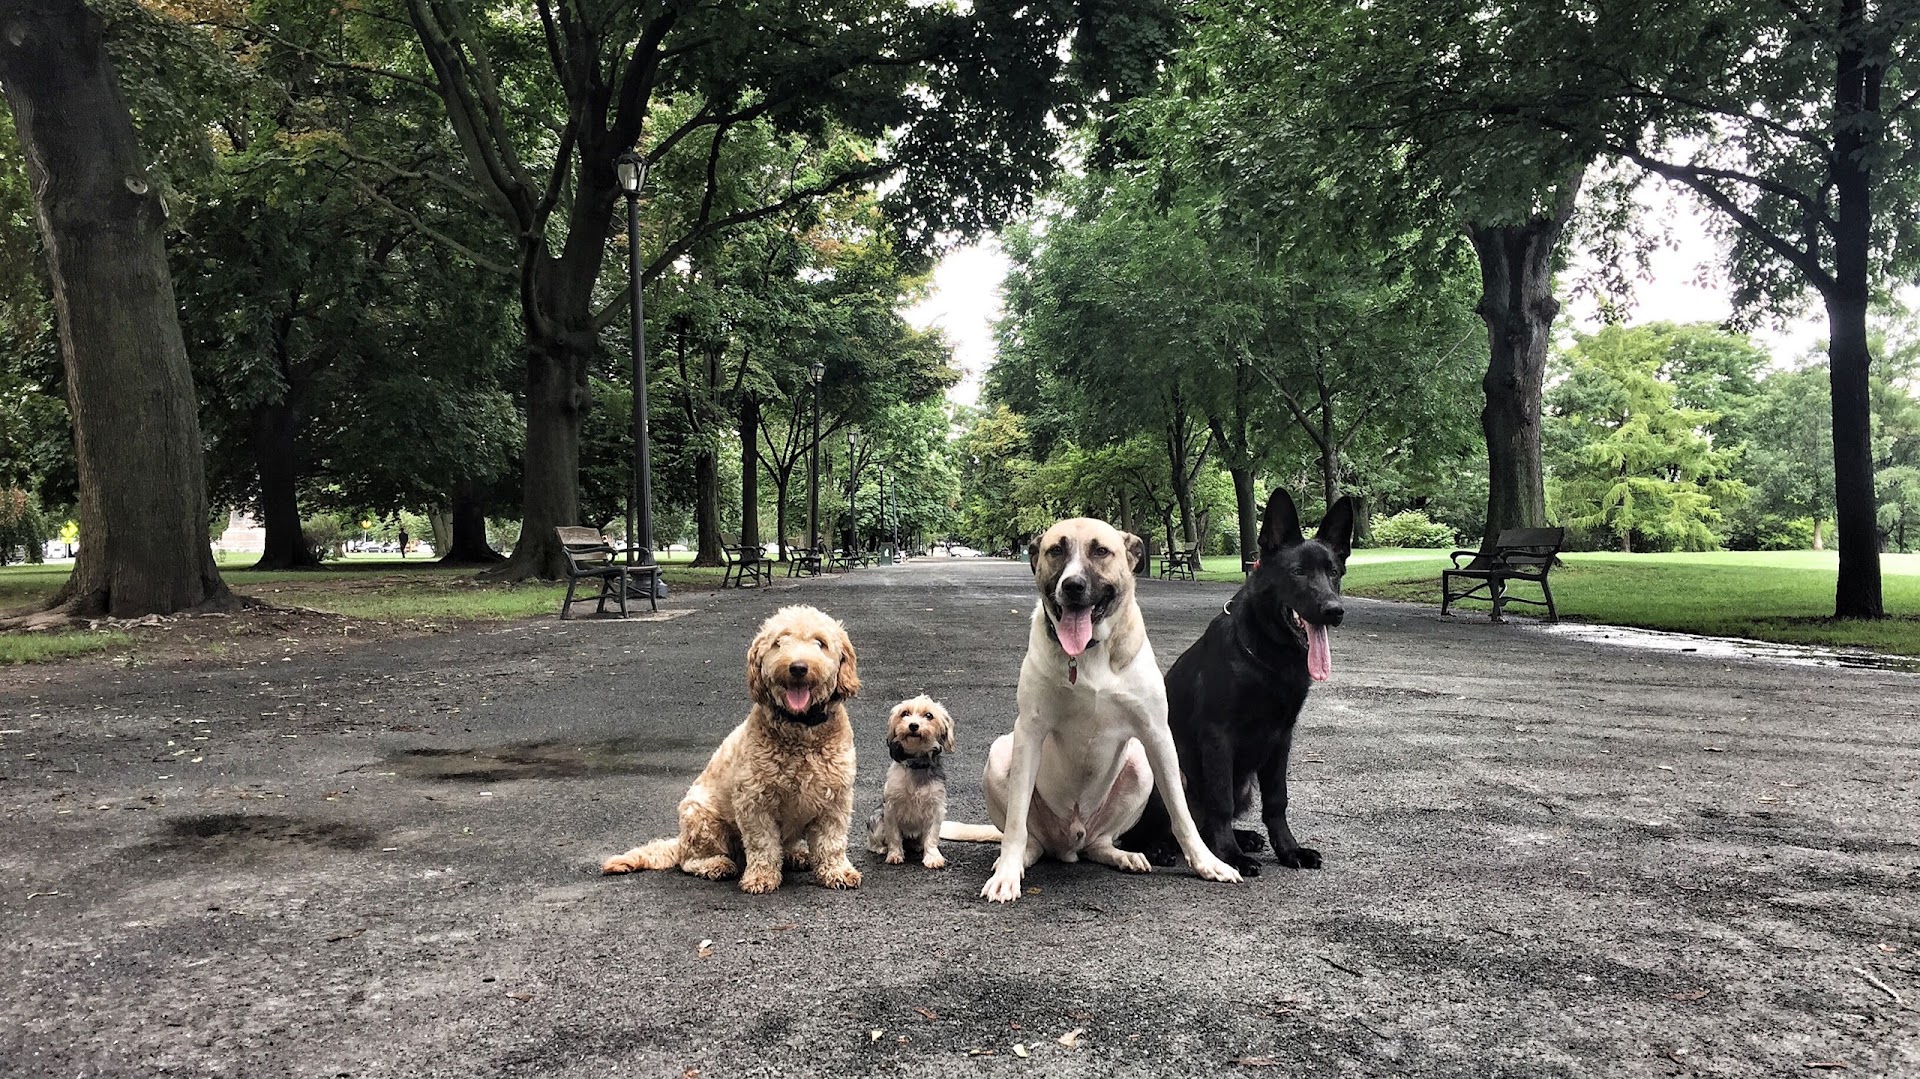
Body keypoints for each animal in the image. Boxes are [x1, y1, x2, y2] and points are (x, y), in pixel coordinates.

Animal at [599, 606, 864, 890]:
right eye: (779, 642)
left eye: (820, 643)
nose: (798, 667)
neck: (800, 728)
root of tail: (679, 842)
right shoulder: (754, 802)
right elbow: (763, 844)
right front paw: (761, 877)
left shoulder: (836, 801)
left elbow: (832, 843)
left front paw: (837, 871)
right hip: (701, 818)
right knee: (689, 861)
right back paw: (716, 865)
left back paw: (796, 854)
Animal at [867, 698, 956, 863]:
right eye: (905, 713)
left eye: (929, 715)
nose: (913, 725)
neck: (916, 764)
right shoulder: (891, 808)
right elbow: (894, 835)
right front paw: (894, 854)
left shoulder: (936, 807)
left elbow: (932, 837)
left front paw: (933, 857)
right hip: (877, 819)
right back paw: (881, 848)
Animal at [944, 514, 1244, 898]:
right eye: (1056, 550)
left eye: (1101, 551)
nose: (1072, 586)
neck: (1088, 652)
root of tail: (1069, 841)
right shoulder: (1029, 732)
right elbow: (1014, 823)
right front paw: (1006, 874)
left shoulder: (1156, 734)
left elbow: (1181, 812)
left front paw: (1208, 863)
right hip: (1001, 753)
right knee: (1030, 838)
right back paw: (1018, 860)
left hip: (1139, 765)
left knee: (1098, 843)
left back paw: (1122, 855)